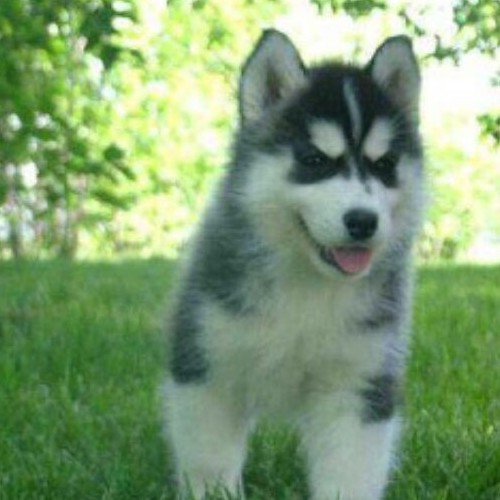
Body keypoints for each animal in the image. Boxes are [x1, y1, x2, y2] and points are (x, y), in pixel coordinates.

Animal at [164, 29, 424, 500]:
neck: (309, 285)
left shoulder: (359, 382)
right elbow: (210, 461)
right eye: (315, 160)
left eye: (385, 165)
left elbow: (349, 474)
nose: (363, 221)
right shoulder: (208, 366)